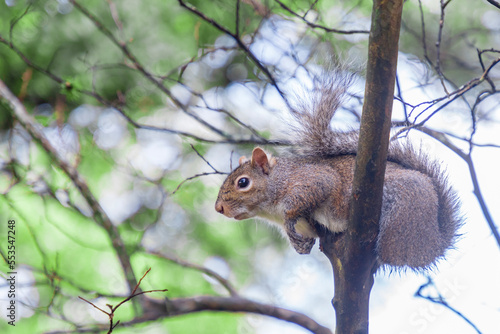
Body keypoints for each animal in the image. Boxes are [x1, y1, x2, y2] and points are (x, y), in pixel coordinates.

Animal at [213, 72, 462, 270]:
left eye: (243, 182)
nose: (219, 208)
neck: (270, 209)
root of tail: (435, 244)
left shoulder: (311, 179)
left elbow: (311, 194)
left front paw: (290, 221)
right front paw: (300, 244)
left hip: (401, 211)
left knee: (392, 253)